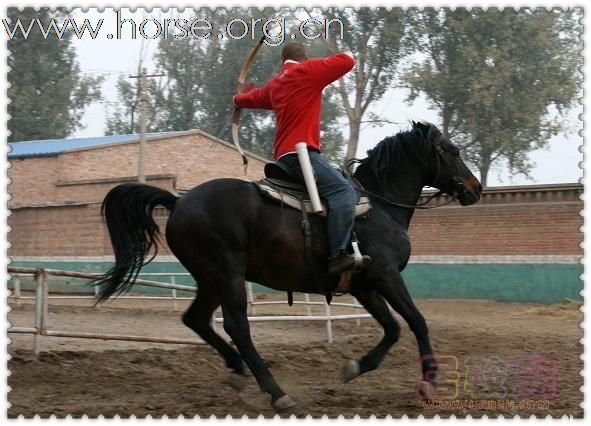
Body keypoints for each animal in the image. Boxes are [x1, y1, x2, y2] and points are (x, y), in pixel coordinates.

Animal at [92, 120, 480, 410]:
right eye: (453, 151)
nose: (475, 188)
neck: (379, 207)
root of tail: (179, 201)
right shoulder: (385, 278)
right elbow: (416, 321)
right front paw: (428, 384)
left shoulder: (364, 286)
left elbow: (393, 328)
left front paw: (355, 367)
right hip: (227, 275)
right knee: (237, 327)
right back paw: (276, 392)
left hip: (210, 279)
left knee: (197, 319)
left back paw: (237, 370)